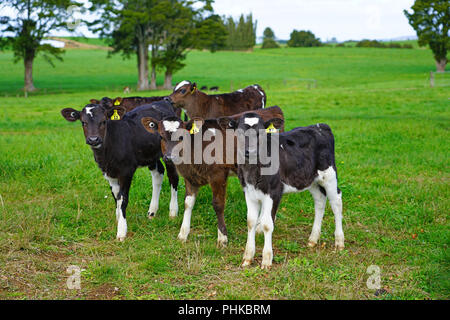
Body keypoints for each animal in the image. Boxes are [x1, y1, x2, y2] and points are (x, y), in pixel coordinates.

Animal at [61, 101, 179, 241]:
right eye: (83, 122)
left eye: (103, 121)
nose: (94, 139)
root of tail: (163, 101)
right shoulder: (108, 173)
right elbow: (116, 196)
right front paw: (118, 218)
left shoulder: (126, 171)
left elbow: (123, 199)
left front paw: (121, 230)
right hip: (151, 154)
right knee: (158, 174)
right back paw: (152, 211)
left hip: (170, 154)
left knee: (173, 178)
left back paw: (173, 211)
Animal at [141, 106, 284, 246]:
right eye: (161, 136)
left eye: (182, 137)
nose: (169, 157)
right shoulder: (190, 177)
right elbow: (188, 203)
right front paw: (183, 234)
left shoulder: (218, 175)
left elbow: (218, 204)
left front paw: (222, 237)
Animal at [218, 114, 344, 268]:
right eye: (240, 132)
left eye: (261, 132)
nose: (250, 152)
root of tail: (319, 126)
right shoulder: (248, 191)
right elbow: (251, 222)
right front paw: (247, 257)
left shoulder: (274, 192)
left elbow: (267, 224)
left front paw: (266, 260)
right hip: (310, 180)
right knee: (320, 201)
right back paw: (313, 239)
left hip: (329, 175)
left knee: (336, 202)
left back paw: (339, 241)